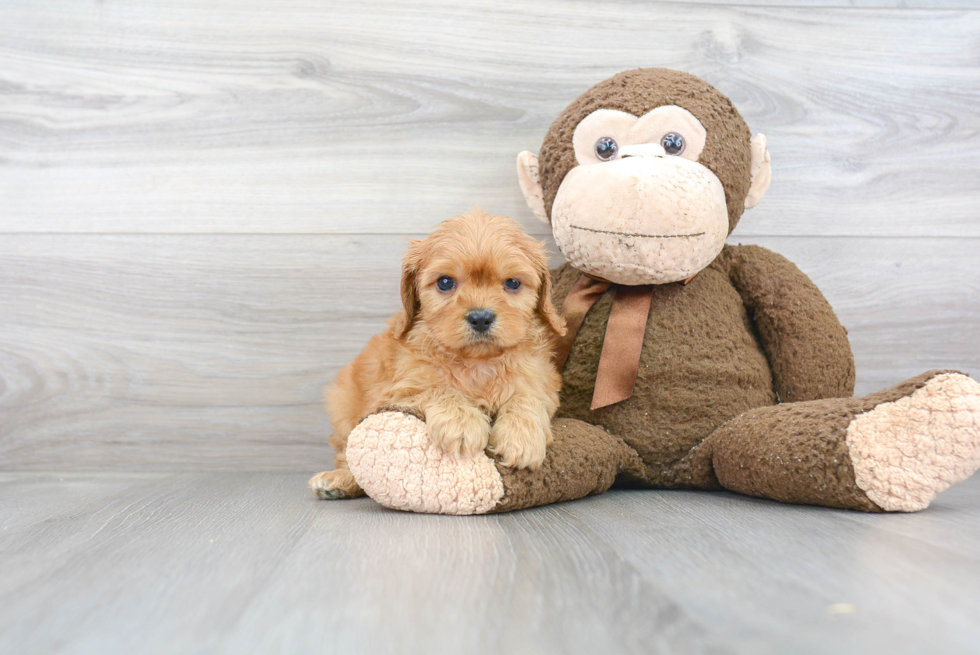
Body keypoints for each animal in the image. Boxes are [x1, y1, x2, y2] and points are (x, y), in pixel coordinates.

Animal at [306, 208, 568, 500]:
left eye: (512, 283)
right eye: (445, 282)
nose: (480, 317)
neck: (477, 362)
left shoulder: (540, 380)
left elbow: (527, 398)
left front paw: (522, 437)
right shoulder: (396, 393)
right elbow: (437, 389)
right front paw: (461, 421)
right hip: (343, 406)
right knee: (348, 456)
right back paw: (337, 480)